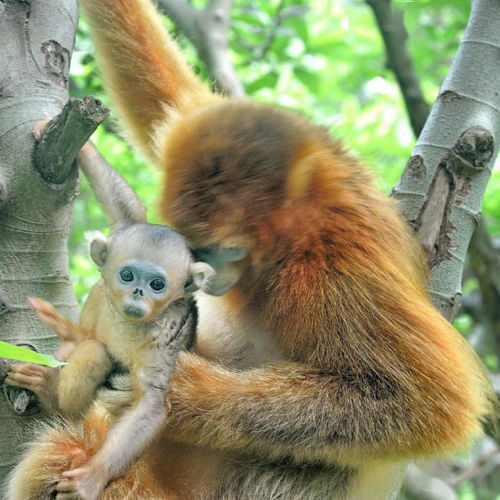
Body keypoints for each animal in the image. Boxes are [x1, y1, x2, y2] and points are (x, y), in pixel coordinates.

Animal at [8, 141, 213, 500]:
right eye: (127, 275)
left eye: (157, 284)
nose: (138, 293)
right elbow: (127, 214)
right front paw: (85, 148)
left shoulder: (163, 339)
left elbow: (150, 405)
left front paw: (91, 477)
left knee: (95, 356)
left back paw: (52, 390)